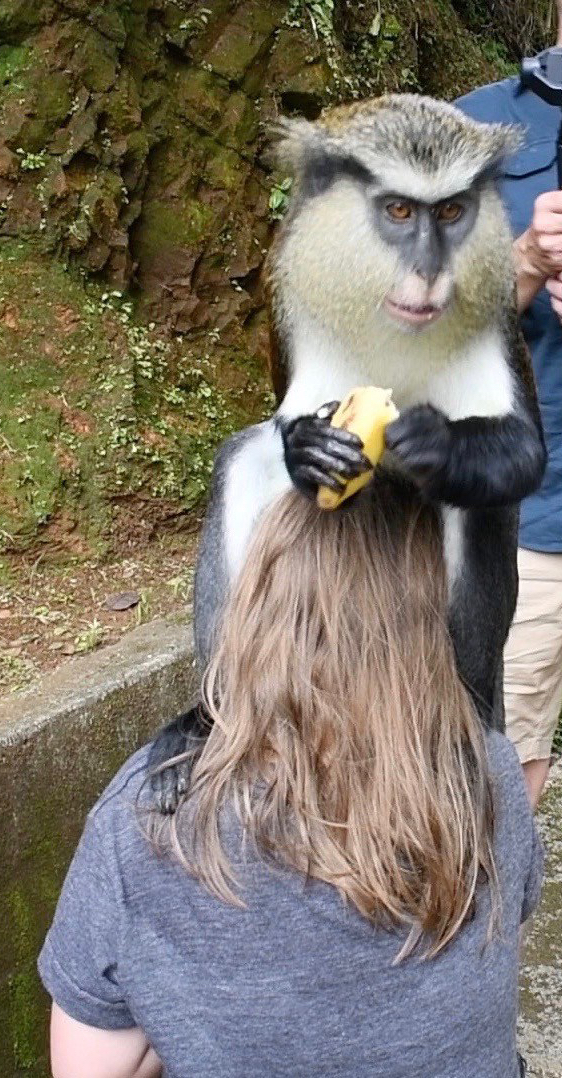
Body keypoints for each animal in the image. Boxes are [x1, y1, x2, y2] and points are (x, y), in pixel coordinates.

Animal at [150, 93, 546, 812]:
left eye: (452, 212)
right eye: (399, 211)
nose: (429, 271)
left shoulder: (496, 311)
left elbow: (524, 453)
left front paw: (435, 444)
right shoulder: (289, 302)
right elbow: (279, 436)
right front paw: (306, 449)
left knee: (488, 501)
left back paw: (467, 717)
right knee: (242, 459)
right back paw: (205, 723)